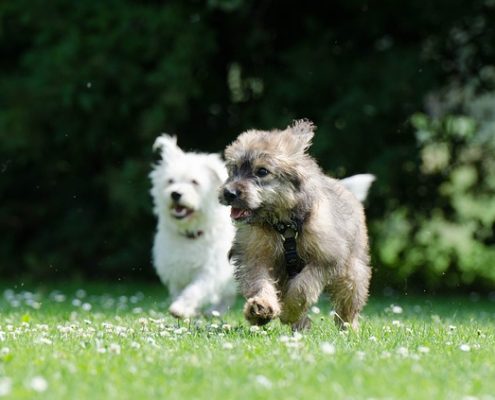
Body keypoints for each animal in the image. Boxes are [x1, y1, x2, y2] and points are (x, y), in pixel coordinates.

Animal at [150, 134, 237, 318]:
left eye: (194, 182)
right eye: (170, 181)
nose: (175, 194)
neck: (190, 233)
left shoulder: (210, 270)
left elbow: (195, 289)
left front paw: (181, 308)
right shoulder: (176, 271)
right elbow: (179, 290)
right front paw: (183, 307)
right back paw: (215, 312)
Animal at [221, 119, 372, 332]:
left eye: (262, 171)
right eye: (234, 168)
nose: (229, 193)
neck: (283, 226)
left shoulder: (326, 258)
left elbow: (303, 287)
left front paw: (289, 311)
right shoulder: (255, 257)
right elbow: (260, 282)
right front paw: (261, 307)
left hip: (352, 272)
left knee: (348, 304)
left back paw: (349, 329)